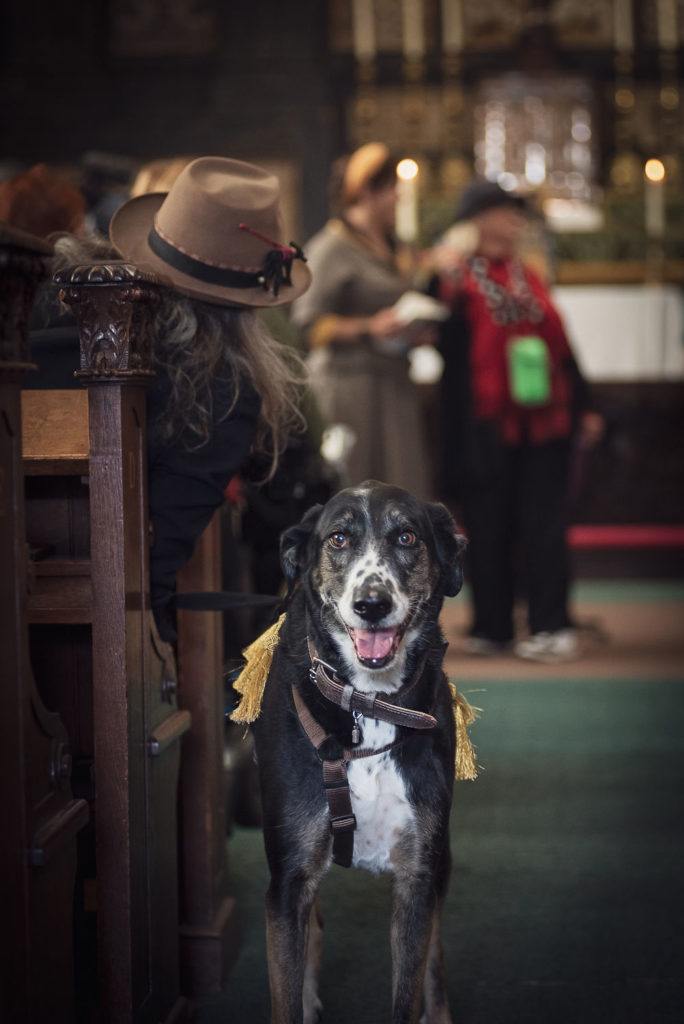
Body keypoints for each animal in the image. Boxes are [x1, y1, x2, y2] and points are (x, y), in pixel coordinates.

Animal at [251, 480, 467, 1023]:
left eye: (407, 536)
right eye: (339, 539)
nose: (372, 603)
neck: (366, 704)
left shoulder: (417, 878)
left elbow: (409, 991)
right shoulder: (286, 882)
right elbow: (284, 994)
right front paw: (300, 997)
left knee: (436, 954)